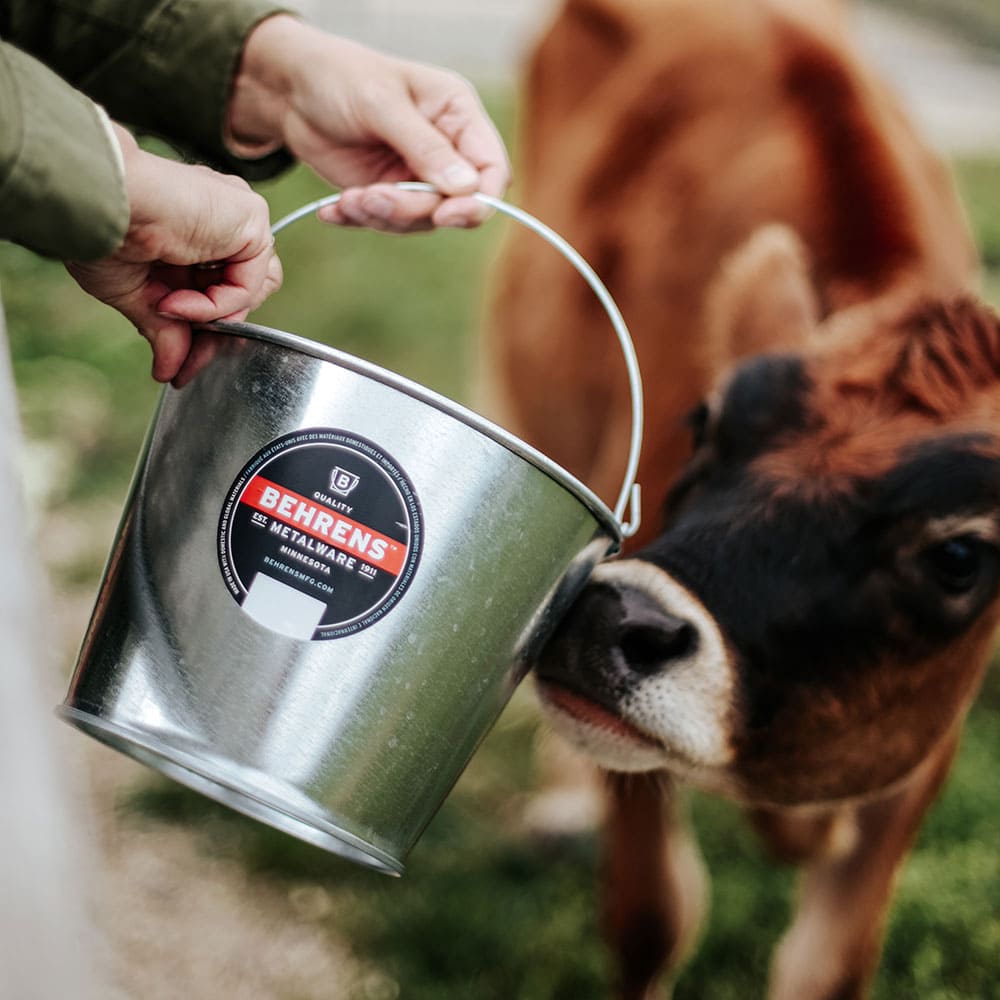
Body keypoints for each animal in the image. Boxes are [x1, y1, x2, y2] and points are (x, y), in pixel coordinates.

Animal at [484, 1, 992, 1000]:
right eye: (704, 420)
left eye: (961, 554)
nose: (613, 616)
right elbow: (652, 918)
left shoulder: (926, 742)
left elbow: (828, 965)